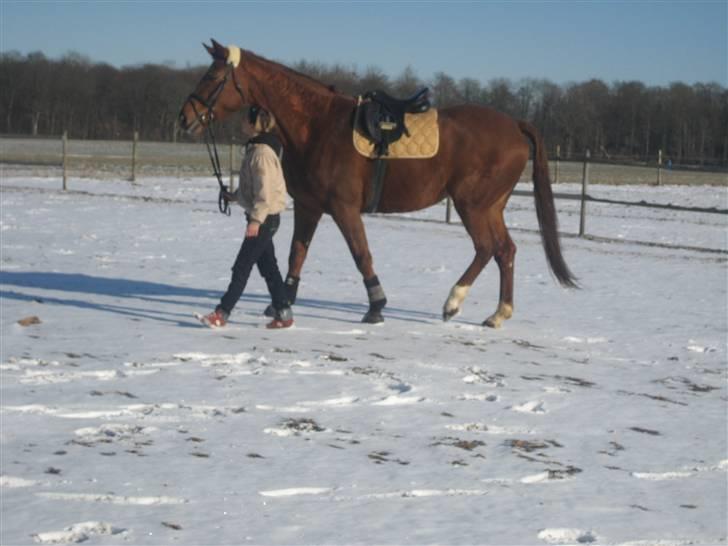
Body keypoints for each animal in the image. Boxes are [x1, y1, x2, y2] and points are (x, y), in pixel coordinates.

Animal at [178, 40, 576, 326]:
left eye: (212, 77)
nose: (184, 118)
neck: (318, 125)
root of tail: (515, 125)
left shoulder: (344, 209)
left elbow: (361, 254)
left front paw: (376, 306)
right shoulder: (309, 207)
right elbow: (296, 254)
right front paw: (283, 303)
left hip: (472, 205)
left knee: (486, 248)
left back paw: (453, 301)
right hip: (491, 206)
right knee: (505, 250)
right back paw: (498, 313)